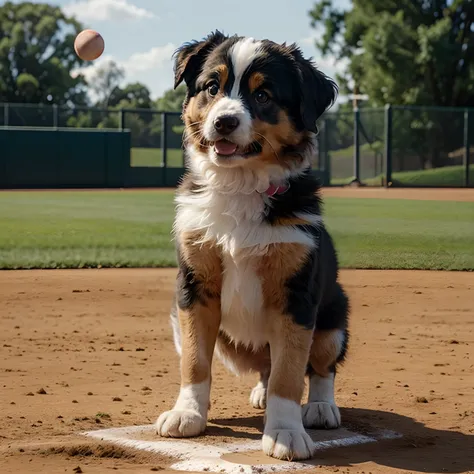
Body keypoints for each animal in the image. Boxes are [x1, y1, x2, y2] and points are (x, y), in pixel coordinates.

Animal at [156, 31, 348, 462]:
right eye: (212, 86)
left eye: (263, 95)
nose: (224, 121)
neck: (239, 188)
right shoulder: (194, 287)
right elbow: (194, 361)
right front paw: (187, 414)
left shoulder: (296, 296)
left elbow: (290, 374)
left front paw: (285, 433)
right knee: (266, 367)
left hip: (334, 317)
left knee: (320, 367)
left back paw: (321, 407)